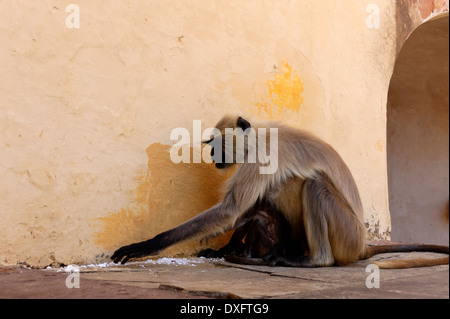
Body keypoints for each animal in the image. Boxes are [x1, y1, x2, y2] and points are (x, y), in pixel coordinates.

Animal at [110, 115, 448, 268]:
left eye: (216, 144)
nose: (212, 155)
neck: (258, 135)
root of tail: (363, 244)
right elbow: (243, 209)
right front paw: (222, 248)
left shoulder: (260, 157)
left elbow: (232, 210)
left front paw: (146, 245)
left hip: (347, 232)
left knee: (313, 184)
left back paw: (314, 260)